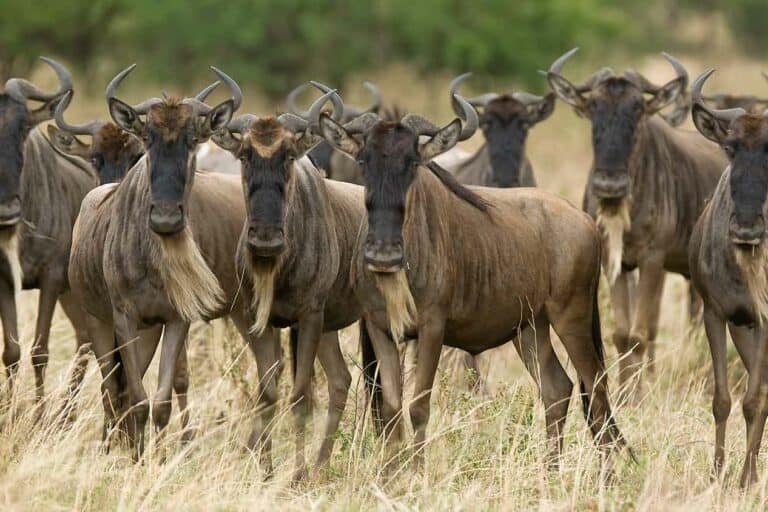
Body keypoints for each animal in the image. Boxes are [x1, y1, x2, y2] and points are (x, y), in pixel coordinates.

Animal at [546, 48, 727, 401]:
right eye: (593, 107)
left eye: (637, 109)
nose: (609, 183)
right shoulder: (616, 262)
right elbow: (622, 333)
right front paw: (625, 392)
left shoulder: (652, 260)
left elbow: (640, 333)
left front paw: (639, 396)